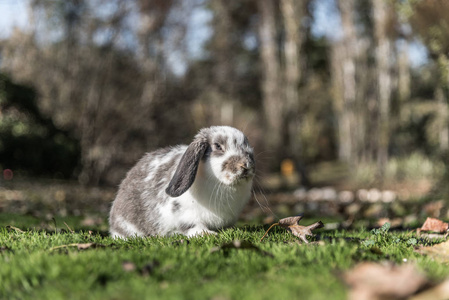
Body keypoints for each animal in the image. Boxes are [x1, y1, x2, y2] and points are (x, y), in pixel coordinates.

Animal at [108, 125, 254, 238]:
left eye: (247, 147)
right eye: (218, 146)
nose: (245, 165)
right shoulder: (185, 214)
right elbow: (192, 227)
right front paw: (209, 234)